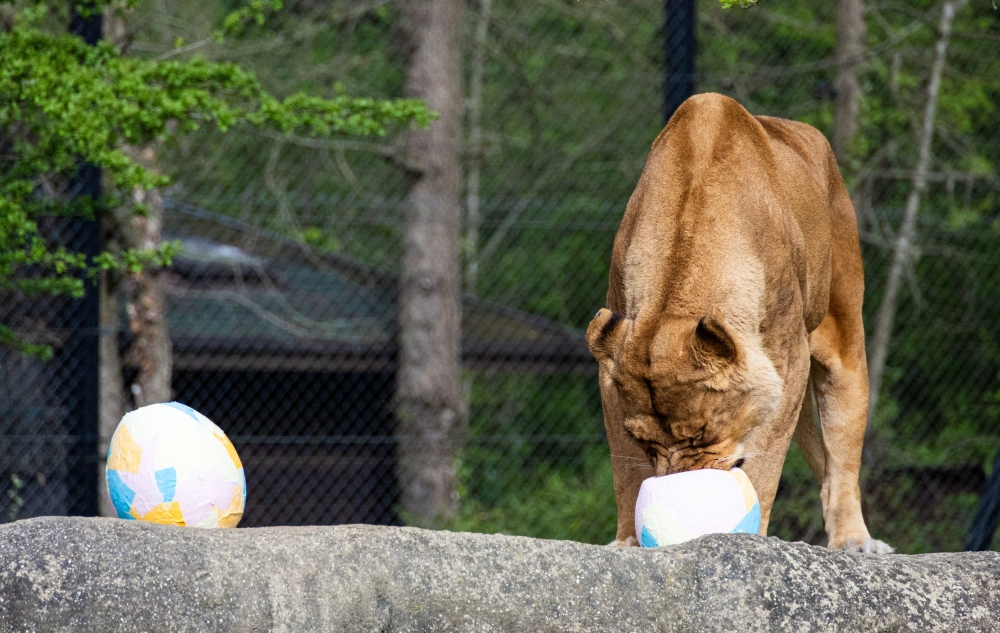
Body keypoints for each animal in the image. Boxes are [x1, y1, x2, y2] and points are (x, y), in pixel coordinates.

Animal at [587, 93, 891, 553]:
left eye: (701, 434)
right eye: (646, 441)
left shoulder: (788, 363)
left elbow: (764, 466)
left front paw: (753, 537)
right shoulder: (611, 377)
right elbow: (626, 472)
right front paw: (625, 543)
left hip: (843, 334)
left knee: (842, 455)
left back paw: (854, 540)